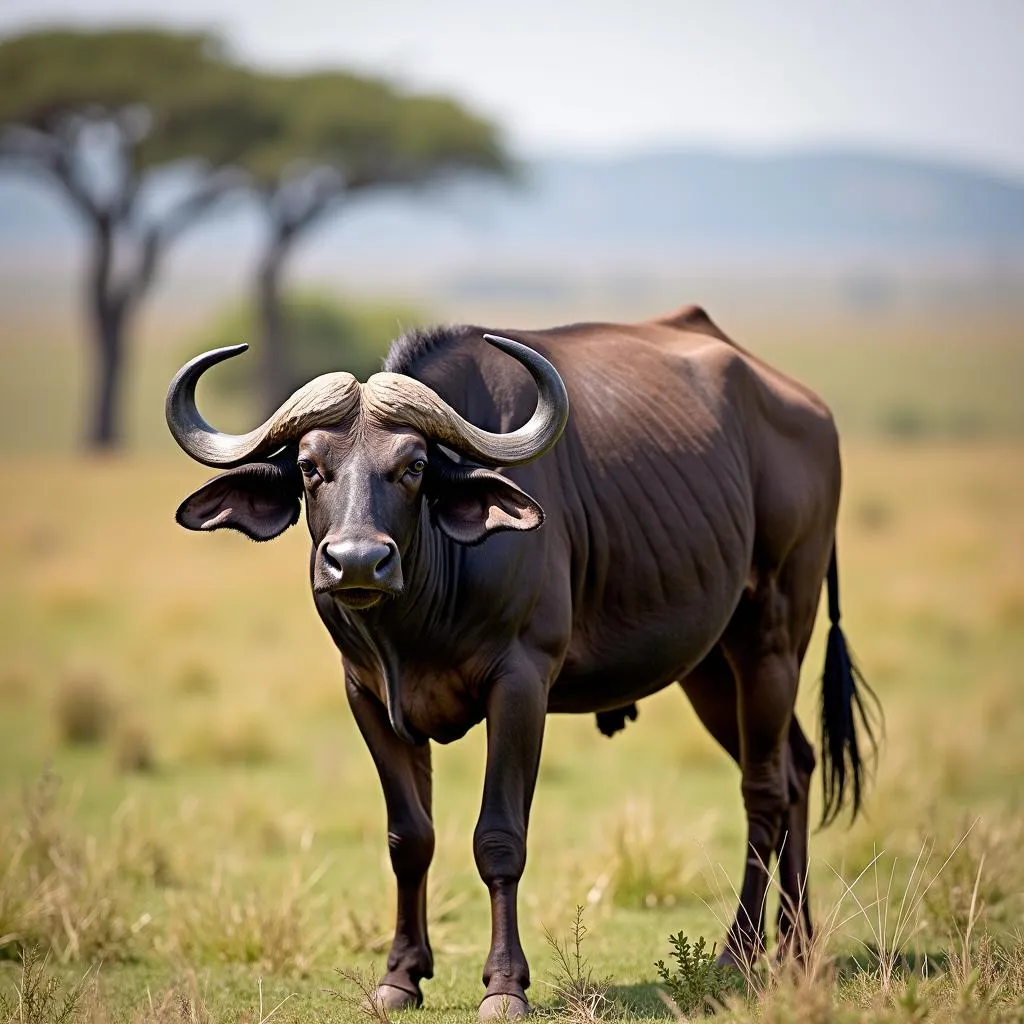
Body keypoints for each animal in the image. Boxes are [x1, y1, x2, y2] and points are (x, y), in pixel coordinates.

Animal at [165, 307, 872, 1019]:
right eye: (311, 466)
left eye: (414, 465)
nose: (359, 561)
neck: (417, 617)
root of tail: (811, 413)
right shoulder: (368, 695)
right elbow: (409, 838)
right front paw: (401, 974)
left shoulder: (521, 684)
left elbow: (499, 837)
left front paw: (504, 985)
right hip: (708, 667)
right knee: (798, 768)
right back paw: (798, 948)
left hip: (771, 640)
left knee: (765, 788)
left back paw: (741, 952)